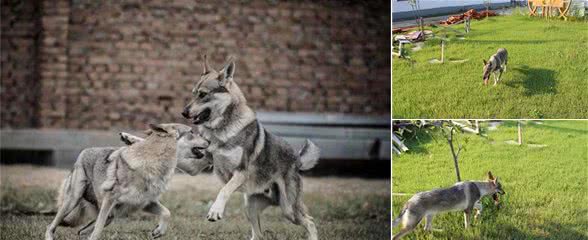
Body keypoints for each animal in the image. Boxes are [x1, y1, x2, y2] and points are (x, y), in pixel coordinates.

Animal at [46, 124, 211, 240]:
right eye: (191, 132)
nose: (210, 140)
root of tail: (83, 151)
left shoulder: (145, 203)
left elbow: (167, 213)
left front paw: (158, 231)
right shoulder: (111, 200)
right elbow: (97, 232)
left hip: (110, 216)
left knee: (81, 232)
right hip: (74, 201)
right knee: (51, 227)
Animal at [183, 54, 322, 240]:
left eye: (203, 94)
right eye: (193, 94)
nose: (183, 112)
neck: (221, 131)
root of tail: (297, 160)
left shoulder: (240, 172)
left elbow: (224, 190)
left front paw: (215, 211)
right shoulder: (197, 165)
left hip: (288, 210)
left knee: (310, 221)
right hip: (250, 208)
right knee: (259, 235)